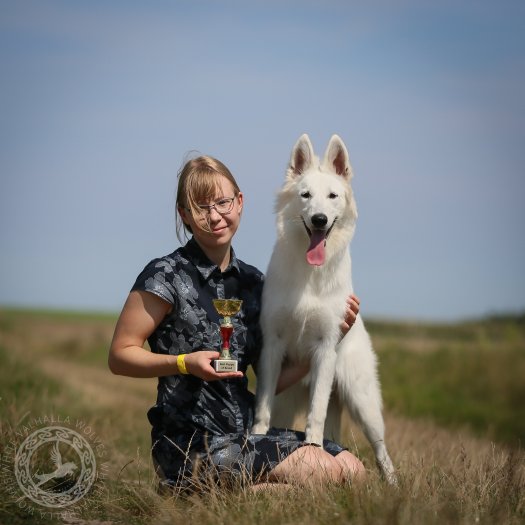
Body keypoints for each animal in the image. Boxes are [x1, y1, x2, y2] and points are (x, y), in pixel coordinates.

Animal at [252, 133, 396, 482]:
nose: (319, 219)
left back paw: (393, 484)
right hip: (287, 400)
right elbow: (261, 408)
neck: (310, 275)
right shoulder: (273, 346)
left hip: (363, 402)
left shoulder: (325, 346)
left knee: (382, 451)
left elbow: (315, 412)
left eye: (333, 196)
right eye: (305, 195)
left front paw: (314, 448)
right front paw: (256, 437)